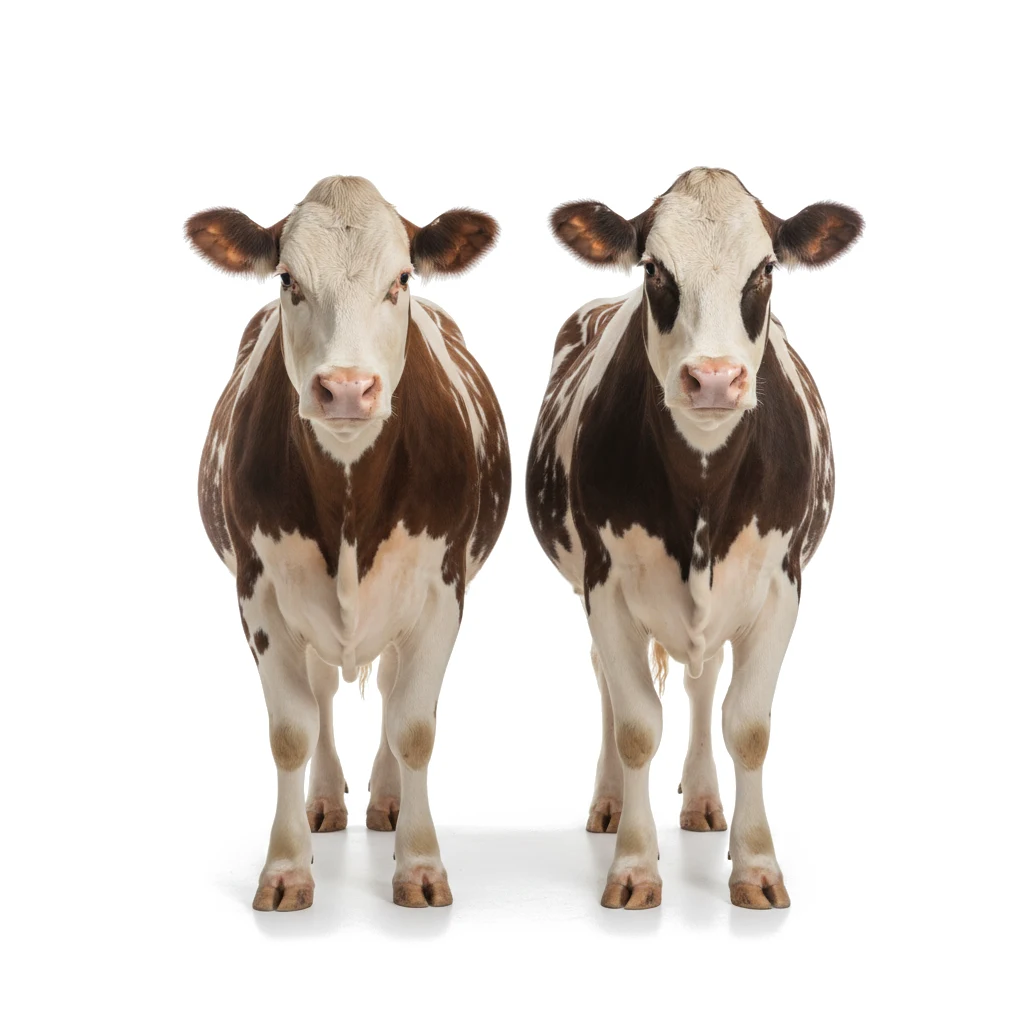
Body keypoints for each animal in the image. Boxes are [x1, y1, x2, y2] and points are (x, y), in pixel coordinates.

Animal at [186, 176, 510, 911]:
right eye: (288, 279)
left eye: (400, 279)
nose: (345, 388)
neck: (350, 493)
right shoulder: (259, 595)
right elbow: (291, 731)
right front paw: (286, 870)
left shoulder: (442, 591)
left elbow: (414, 726)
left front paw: (420, 865)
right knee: (324, 696)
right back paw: (327, 803)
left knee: (388, 690)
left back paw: (387, 802)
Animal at [526, 167, 862, 910]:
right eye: (654, 268)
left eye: (764, 269)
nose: (712, 378)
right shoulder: (605, 585)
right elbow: (635, 726)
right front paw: (633, 866)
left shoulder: (781, 586)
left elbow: (748, 726)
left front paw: (757, 865)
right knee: (610, 683)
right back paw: (610, 804)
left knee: (703, 686)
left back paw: (707, 803)